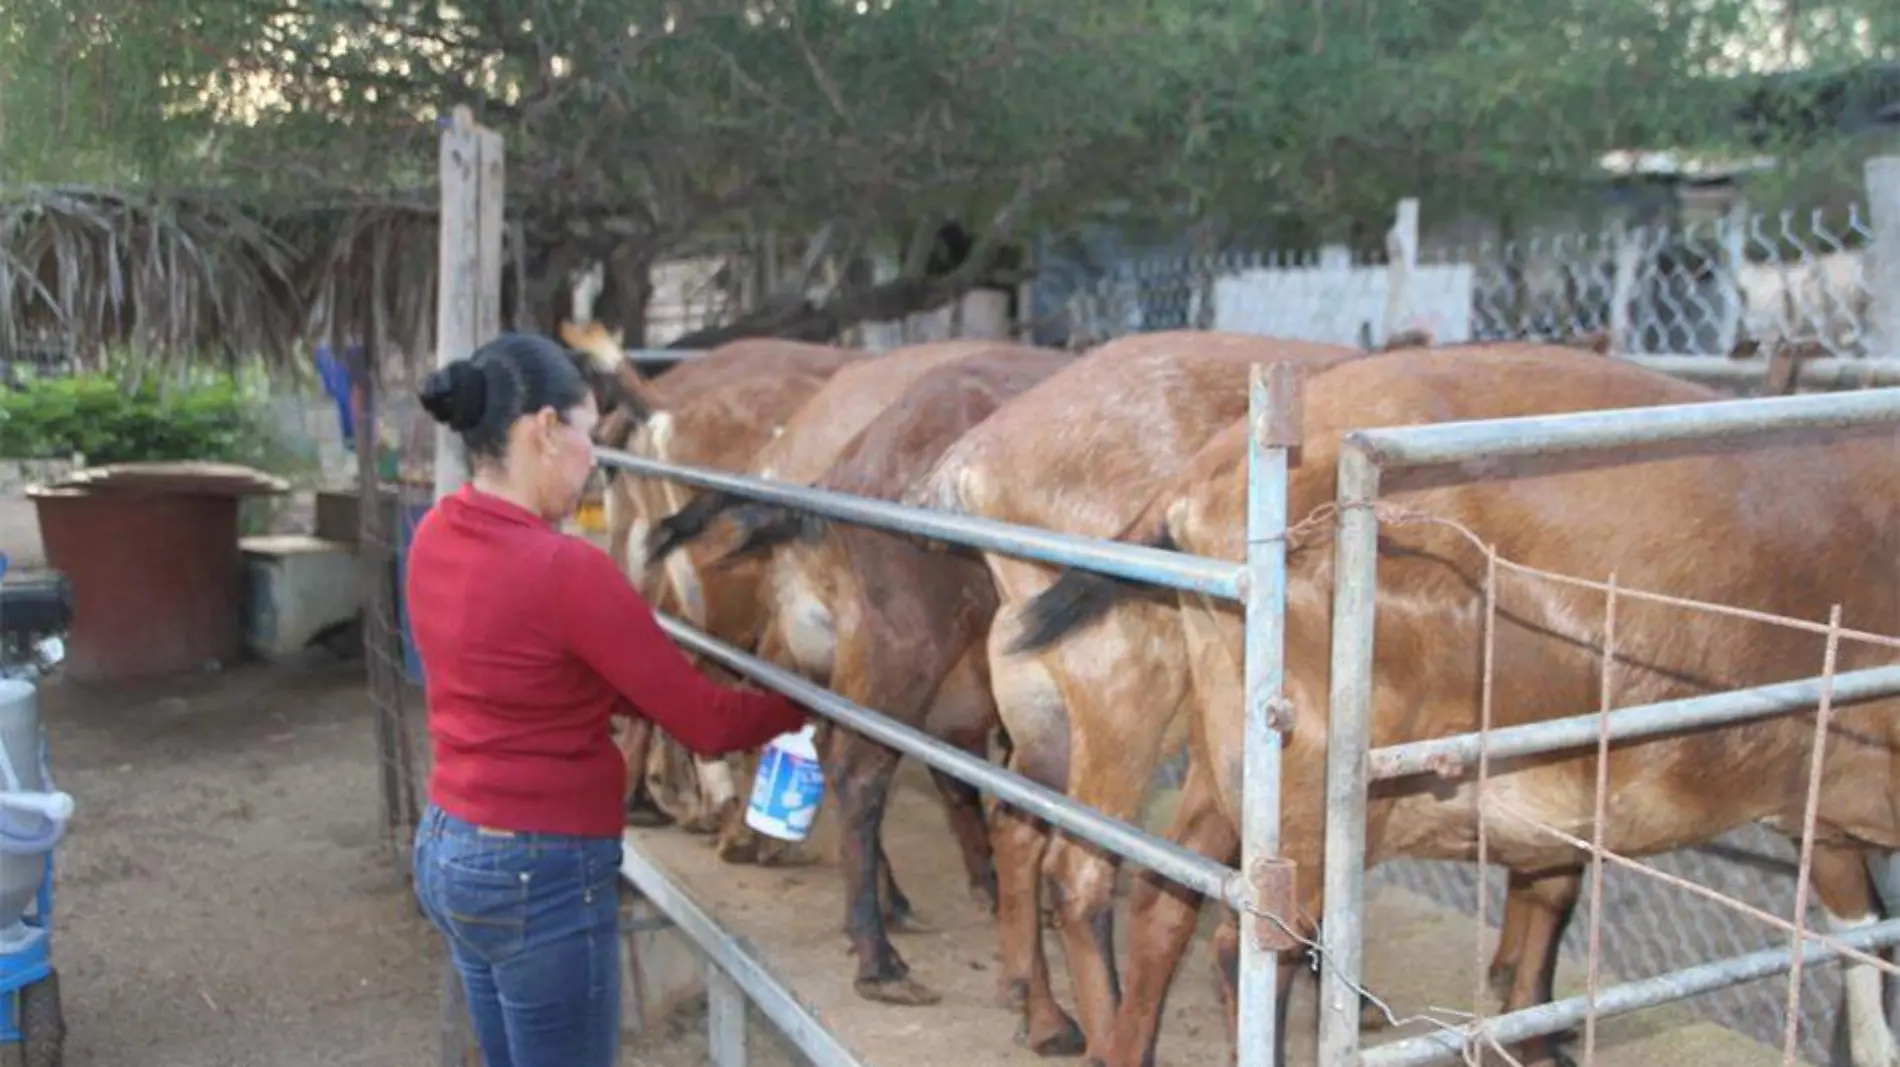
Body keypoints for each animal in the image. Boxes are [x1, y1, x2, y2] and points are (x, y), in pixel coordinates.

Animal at [1018, 341, 1900, 1063]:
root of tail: (1209, 476)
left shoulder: (1815, 805)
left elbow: (1861, 932)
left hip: (1228, 746)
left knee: (1163, 899)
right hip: (1312, 773)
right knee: (1250, 944)